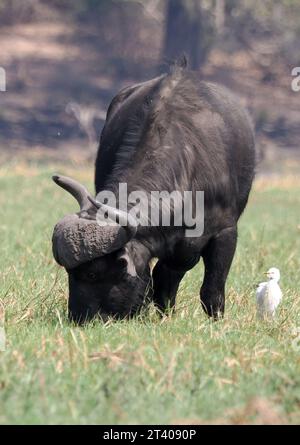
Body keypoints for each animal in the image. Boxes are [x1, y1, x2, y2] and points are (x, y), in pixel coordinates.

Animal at [52, 59, 255, 322]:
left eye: (93, 274)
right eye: (70, 272)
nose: (77, 318)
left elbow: (211, 288)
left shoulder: (225, 232)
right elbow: (161, 280)